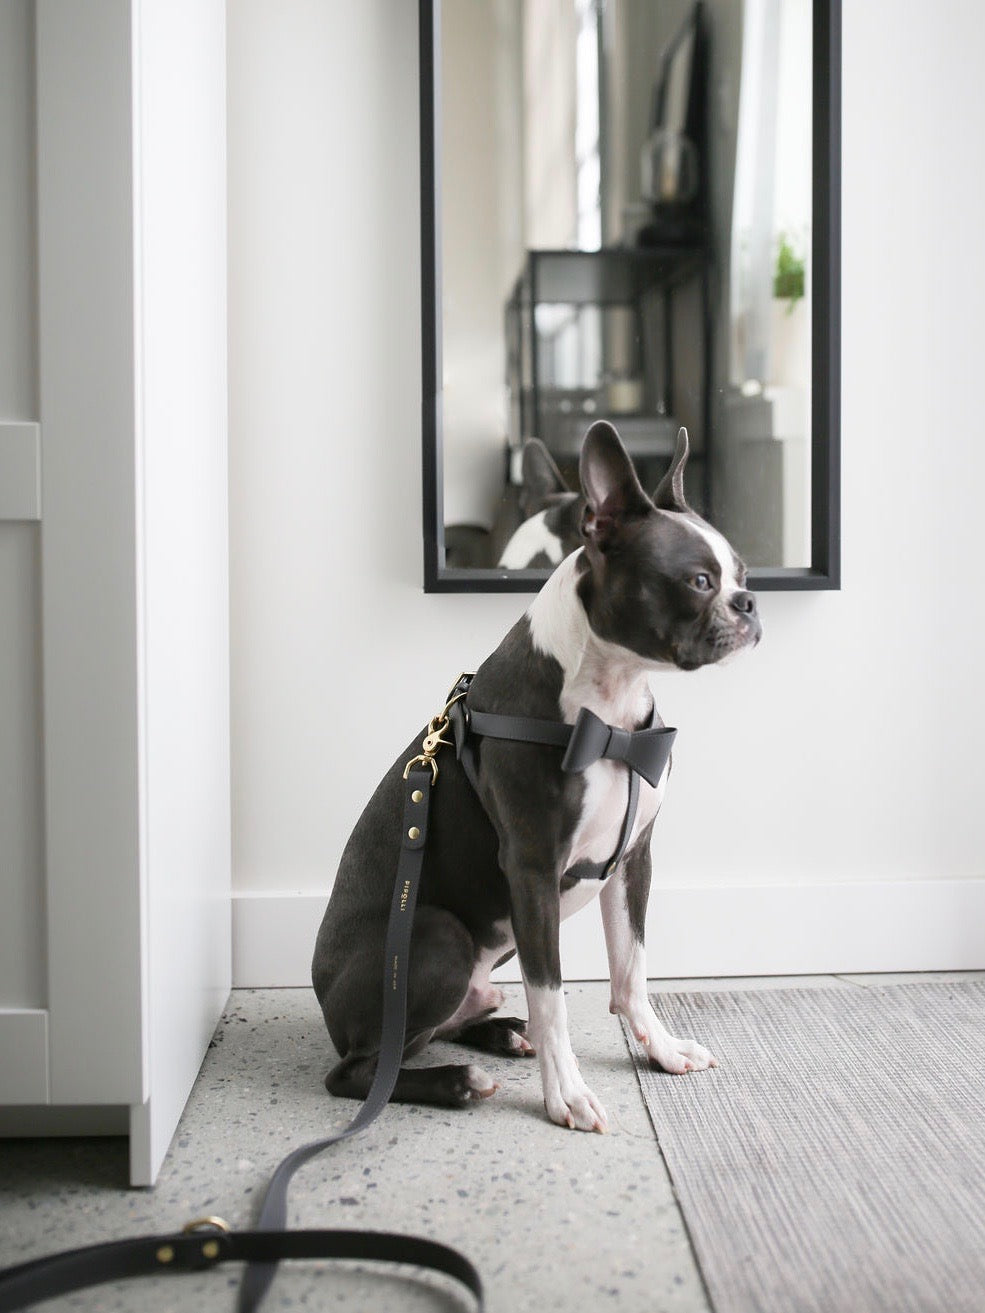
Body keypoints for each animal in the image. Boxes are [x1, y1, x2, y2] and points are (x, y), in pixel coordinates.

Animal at [312, 420, 761, 1129]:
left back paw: (499, 1034)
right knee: (359, 1070)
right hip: (435, 935)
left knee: (433, 1029)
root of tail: (323, 994)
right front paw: (566, 1095)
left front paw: (660, 1050)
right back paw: (456, 1081)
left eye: (742, 573)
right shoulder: (531, 869)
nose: (749, 601)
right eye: (697, 581)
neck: (611, 707)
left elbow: (632, 970)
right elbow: (552, 997)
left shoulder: (633, 860)